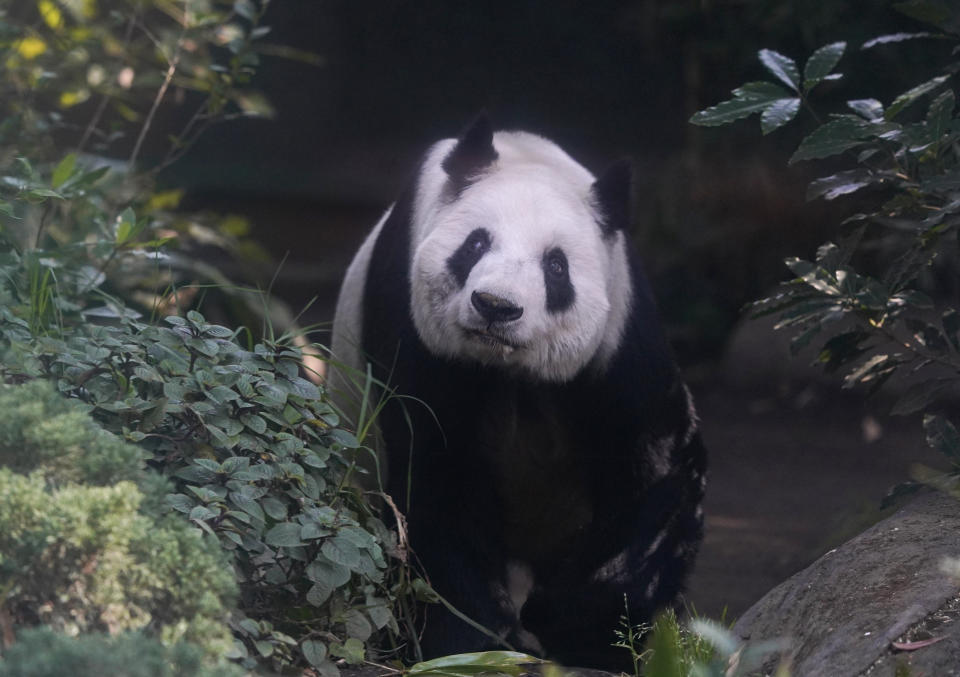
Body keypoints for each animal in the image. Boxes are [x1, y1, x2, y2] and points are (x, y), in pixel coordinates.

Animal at [330, 113, 704, 668]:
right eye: (475, 245)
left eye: (556, 266)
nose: (496, 305)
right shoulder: (412, 329)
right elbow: (436, 478)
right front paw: (480, 642)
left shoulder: (620, 335)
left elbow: (657, 469)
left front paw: (583, 632)